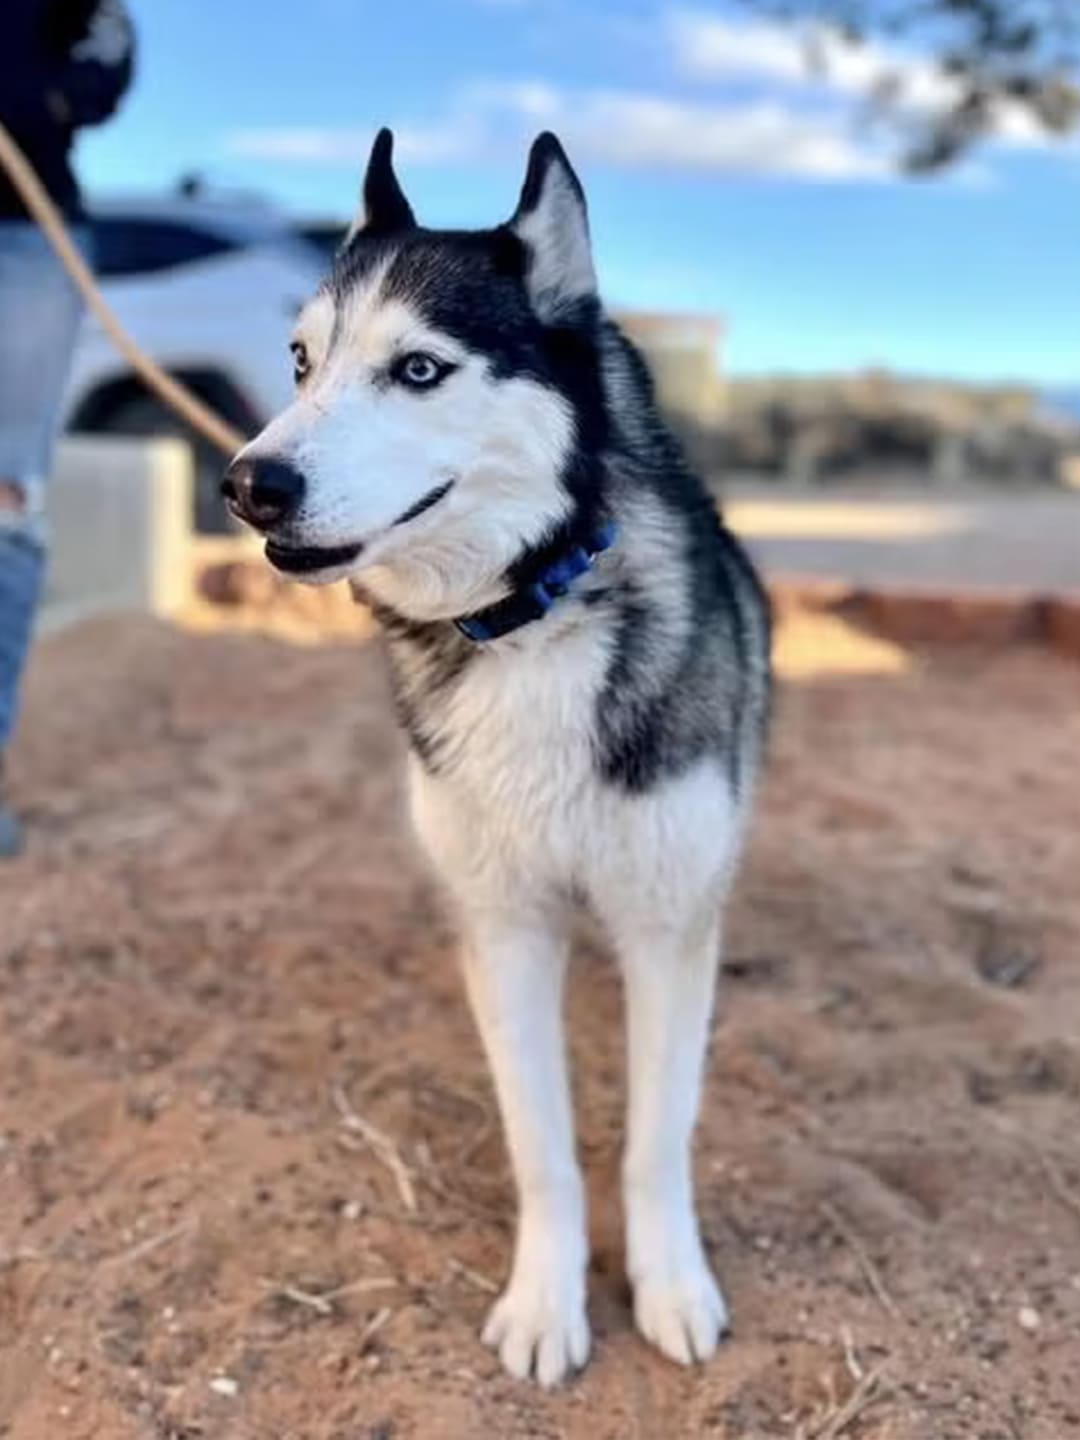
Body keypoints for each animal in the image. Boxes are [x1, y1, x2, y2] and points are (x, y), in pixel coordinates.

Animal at [224, 132, 771, 1382]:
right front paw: (544, 1302)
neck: (531, 616)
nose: (247, 484)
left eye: (419, 370)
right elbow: (543, 1144)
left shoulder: (667, 924)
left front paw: (671, 1286)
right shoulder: (507, 926)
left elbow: (656, 1136)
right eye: (299, 362)